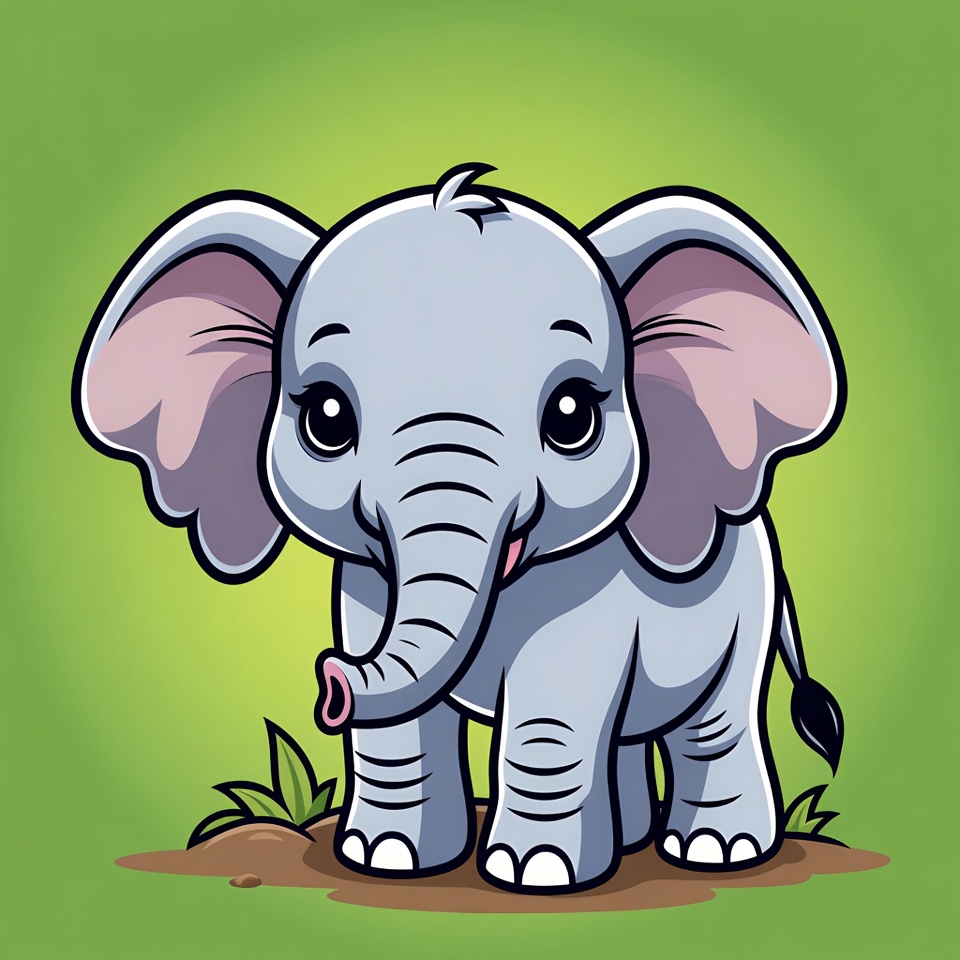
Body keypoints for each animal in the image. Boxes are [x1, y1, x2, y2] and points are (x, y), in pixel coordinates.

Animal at [75, 163, 845, 893]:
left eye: (572, 415)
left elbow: (552, 713)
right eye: (327, 418)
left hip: (747, 607)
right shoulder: (366, 584)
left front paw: (536, 874)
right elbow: (402, 722)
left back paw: (718, 850)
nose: (331, 679)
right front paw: (385, 858)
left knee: (715, 723)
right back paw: (629, 844)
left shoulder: (590, 595)